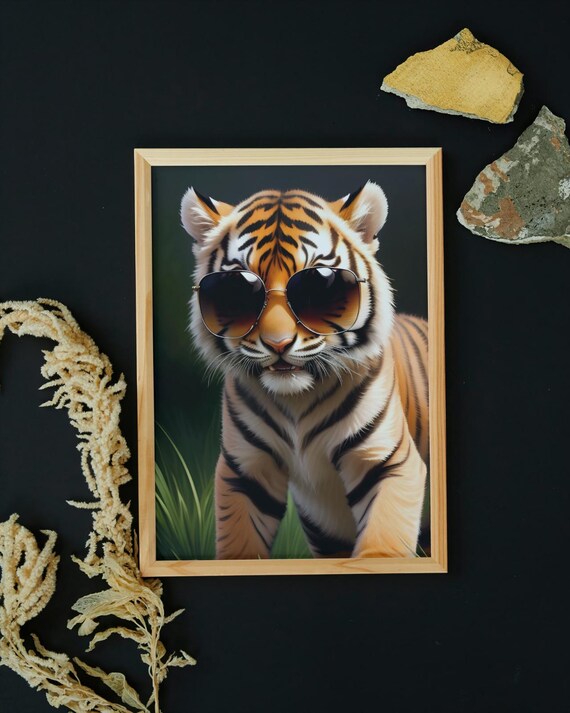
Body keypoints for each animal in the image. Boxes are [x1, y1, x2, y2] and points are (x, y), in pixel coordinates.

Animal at [180, 181, 429, 559]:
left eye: (319, 287)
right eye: (236, 291)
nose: (278, 343)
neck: (296, 401)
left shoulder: (388, 462)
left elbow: (382, 546)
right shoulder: (245, 470)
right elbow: (239, 545)